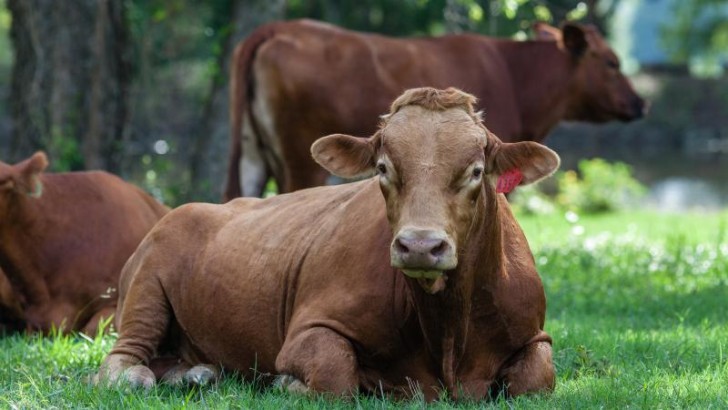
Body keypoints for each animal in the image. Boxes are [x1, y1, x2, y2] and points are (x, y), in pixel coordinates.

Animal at [94, 88, 560, 402]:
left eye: (476, 171)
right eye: (383, 168)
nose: (420, 245)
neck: (446, 333)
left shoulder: (534, 333)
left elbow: (537, 381)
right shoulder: (308, 329)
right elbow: (336, 378)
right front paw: (286, 382)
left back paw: (197, 373)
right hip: (146, 285)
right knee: (121, 361)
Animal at [223, 20, 644, 199]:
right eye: (612, 62)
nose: (641, 102)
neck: (515, 77)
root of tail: (278, 26)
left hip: (253, 153)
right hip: (301, 162)